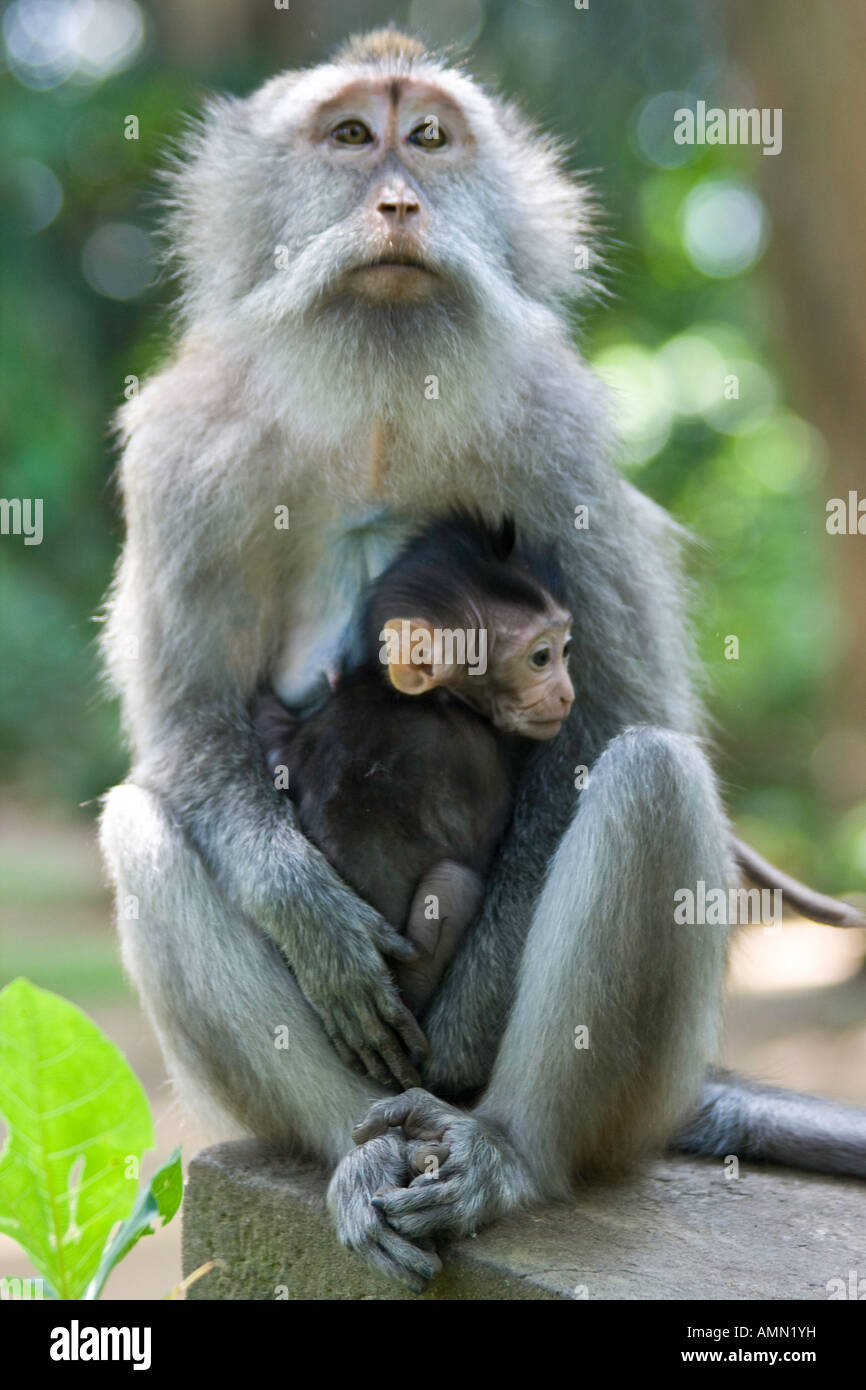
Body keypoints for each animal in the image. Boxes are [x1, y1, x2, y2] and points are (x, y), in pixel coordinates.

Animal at [252, 511, 574, 1023]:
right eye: (542, 657)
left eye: (566, 649)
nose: (567, 695)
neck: (421, 698)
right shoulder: (476, 753)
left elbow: (271, 727)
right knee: (456, 884)